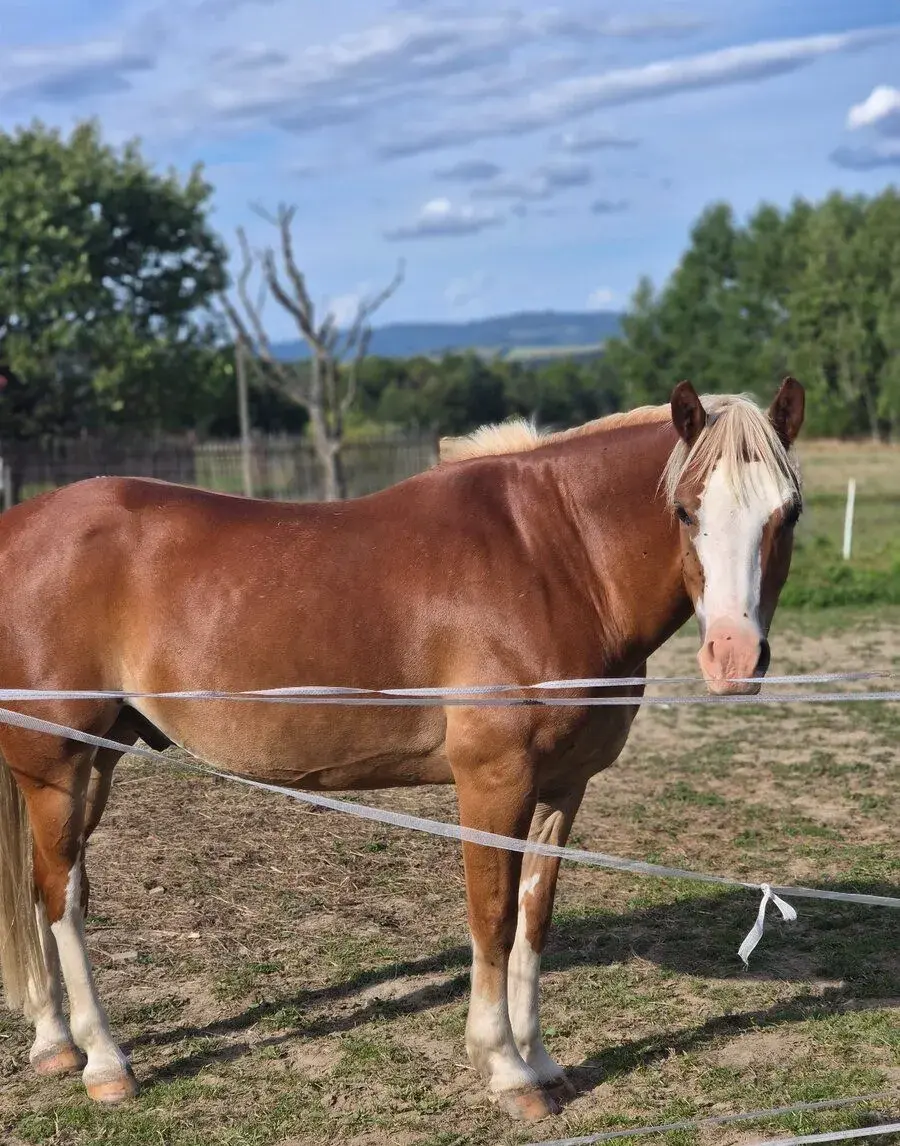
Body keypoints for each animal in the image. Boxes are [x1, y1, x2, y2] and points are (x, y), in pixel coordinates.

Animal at [0, 378, 804, 1120]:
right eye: (685, 510)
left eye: (787, 513)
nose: (733, 657)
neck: (555, 557)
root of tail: (19, 526)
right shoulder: (494, 784)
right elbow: (493, 917)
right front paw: (507, 1071)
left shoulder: (562, 788)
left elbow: (534, 918)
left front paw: (542, 1062)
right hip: (56, 766)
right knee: (63, 895)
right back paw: (105, 1062)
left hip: (99, 758)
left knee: (46, 887)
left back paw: (55, 1044)